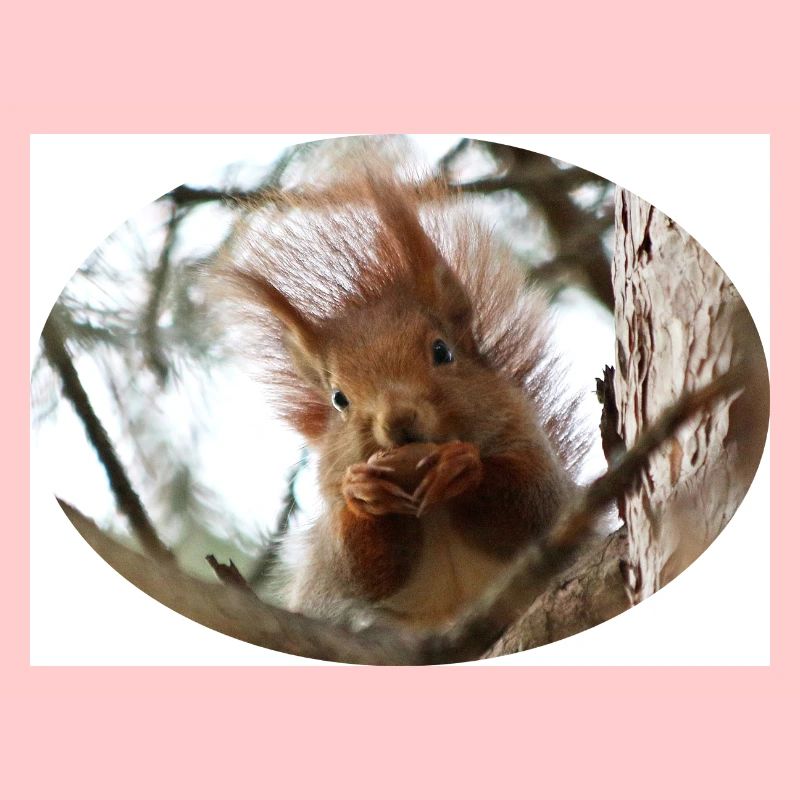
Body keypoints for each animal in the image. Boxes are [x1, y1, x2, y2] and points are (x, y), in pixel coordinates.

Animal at [218, 154, 587, 629]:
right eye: (339, 399)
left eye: (442, 352)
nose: (397, 420)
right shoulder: (334, 545)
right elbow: (357, 569)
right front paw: (362, 492)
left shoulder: (533, 454)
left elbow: (534, 506)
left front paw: (462, 467)